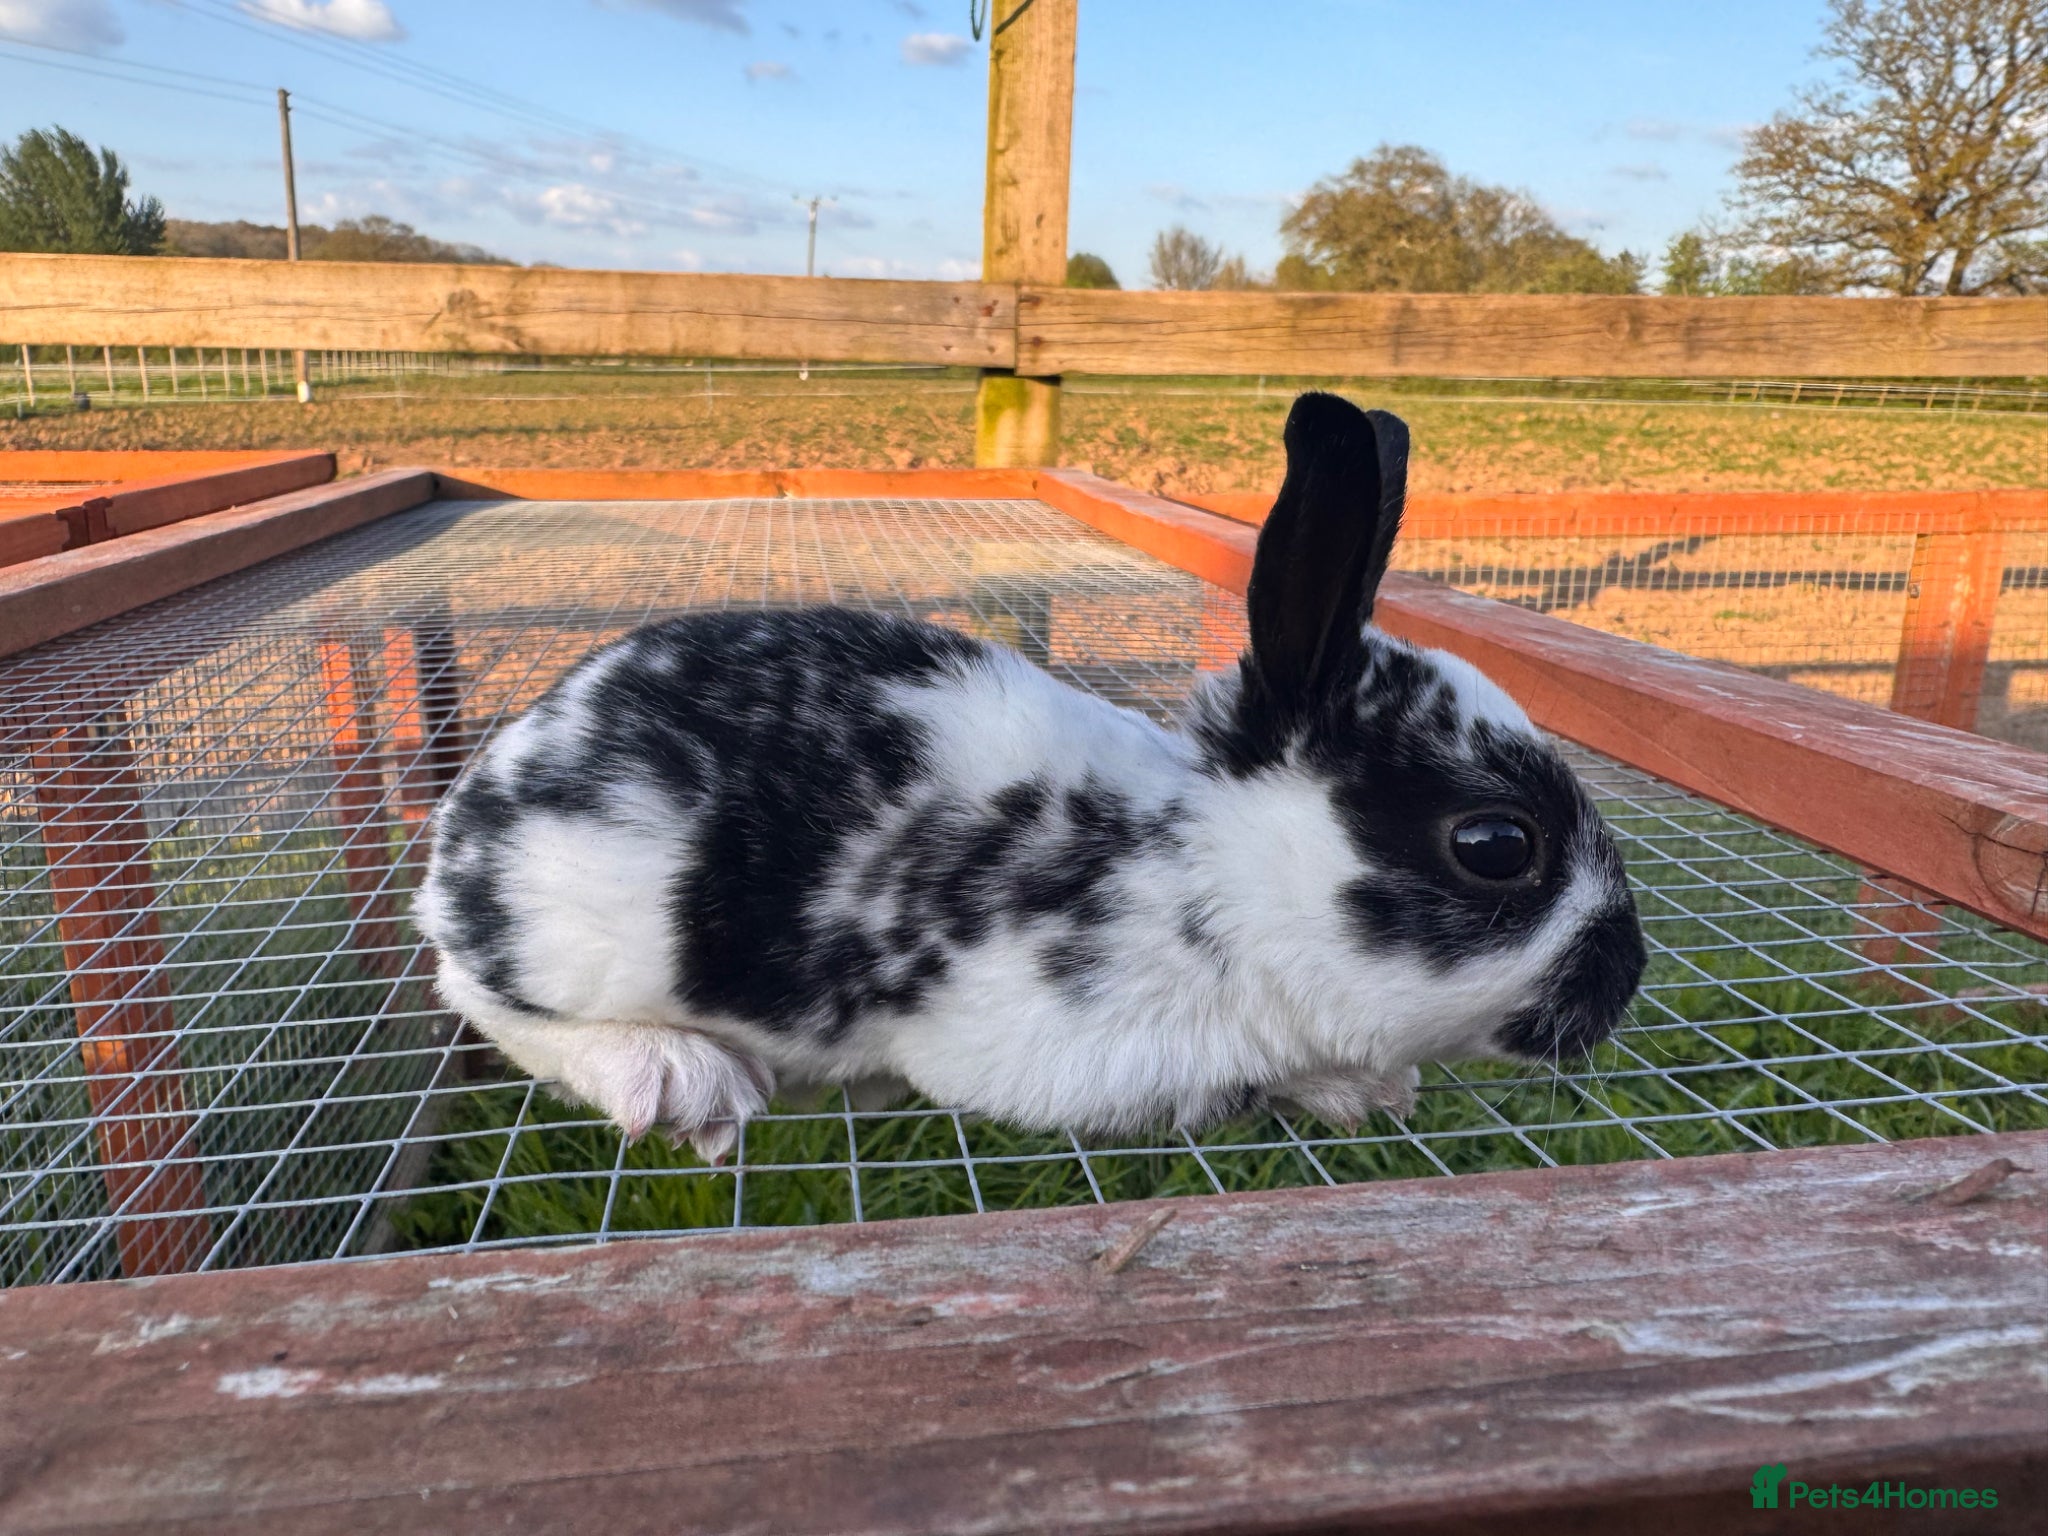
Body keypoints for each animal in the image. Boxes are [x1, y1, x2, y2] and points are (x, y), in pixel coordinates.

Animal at [415, 392, 1647, 1162]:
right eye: (1495, 846)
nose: (1625, 978)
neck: (1201, 878)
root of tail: (465, 823)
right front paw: (1354, 1090)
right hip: (587, 930)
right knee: (479, 998)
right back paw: (677, 1082)